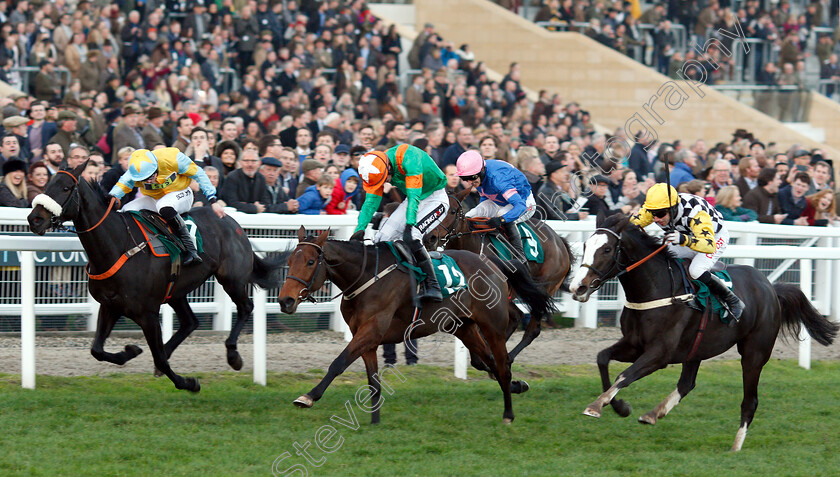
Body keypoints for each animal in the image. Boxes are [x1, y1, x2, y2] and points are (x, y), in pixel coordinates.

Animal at [27, 162, 286, 392]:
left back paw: (233, 355)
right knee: (191, 322)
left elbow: (157, 357)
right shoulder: (110, 305)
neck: (119, 245)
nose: (34, 219)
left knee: (245, 307)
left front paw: (189, 383)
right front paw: (131, 351)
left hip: (231, 278)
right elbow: (97, 350)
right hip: (177, 291)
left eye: (65, 188)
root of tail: (233, 222)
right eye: (47, 184)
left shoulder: (148, 313)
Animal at [276, 227, 556, 424]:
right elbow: (373, 382)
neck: (365, 277)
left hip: (492, 326)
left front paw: (308, 396)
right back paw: (517, 386)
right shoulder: (366, 337)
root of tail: (491, 262)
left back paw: (508, 413)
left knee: (502, 364)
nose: (285, 300)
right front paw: (374, 421)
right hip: (464, 327)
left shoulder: (371, 331)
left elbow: (338, 363)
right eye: (289, 261)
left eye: (311, 262)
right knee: (490, 362)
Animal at [424, 186, 576, 360]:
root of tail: (560, 242)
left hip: (542, 288)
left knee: (532, 329)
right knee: (516, 316)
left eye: (453, 211)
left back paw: (508, 356)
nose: (430, 238)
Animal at [568, 214, 836, 448]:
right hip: (696, 347)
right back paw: (654, 413)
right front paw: (620, 407)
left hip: (754, 354)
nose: (577, 287)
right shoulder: (634, 344)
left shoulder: (659, 354)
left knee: (749, 402)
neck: (656, 288)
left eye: (606, 249)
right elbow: (602, 358)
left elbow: (625, 375)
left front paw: (597, 405)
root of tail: (770, 287)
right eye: (585, 245)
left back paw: (735, 448)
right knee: (687, 383)